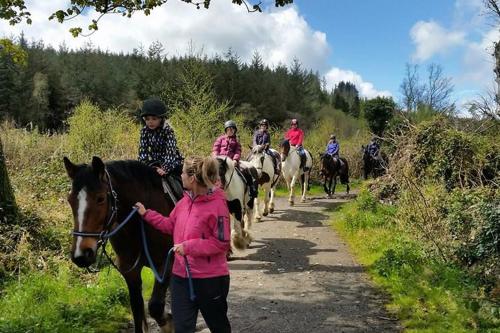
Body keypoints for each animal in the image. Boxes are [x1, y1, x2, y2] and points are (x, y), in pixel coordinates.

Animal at [63, 156, 175, 332]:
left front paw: (169, 322)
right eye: (70, 200)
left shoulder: (165, 263)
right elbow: (137, 310)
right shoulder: (130, 273)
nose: (81, 255)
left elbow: (155, 307)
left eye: (100, 198)